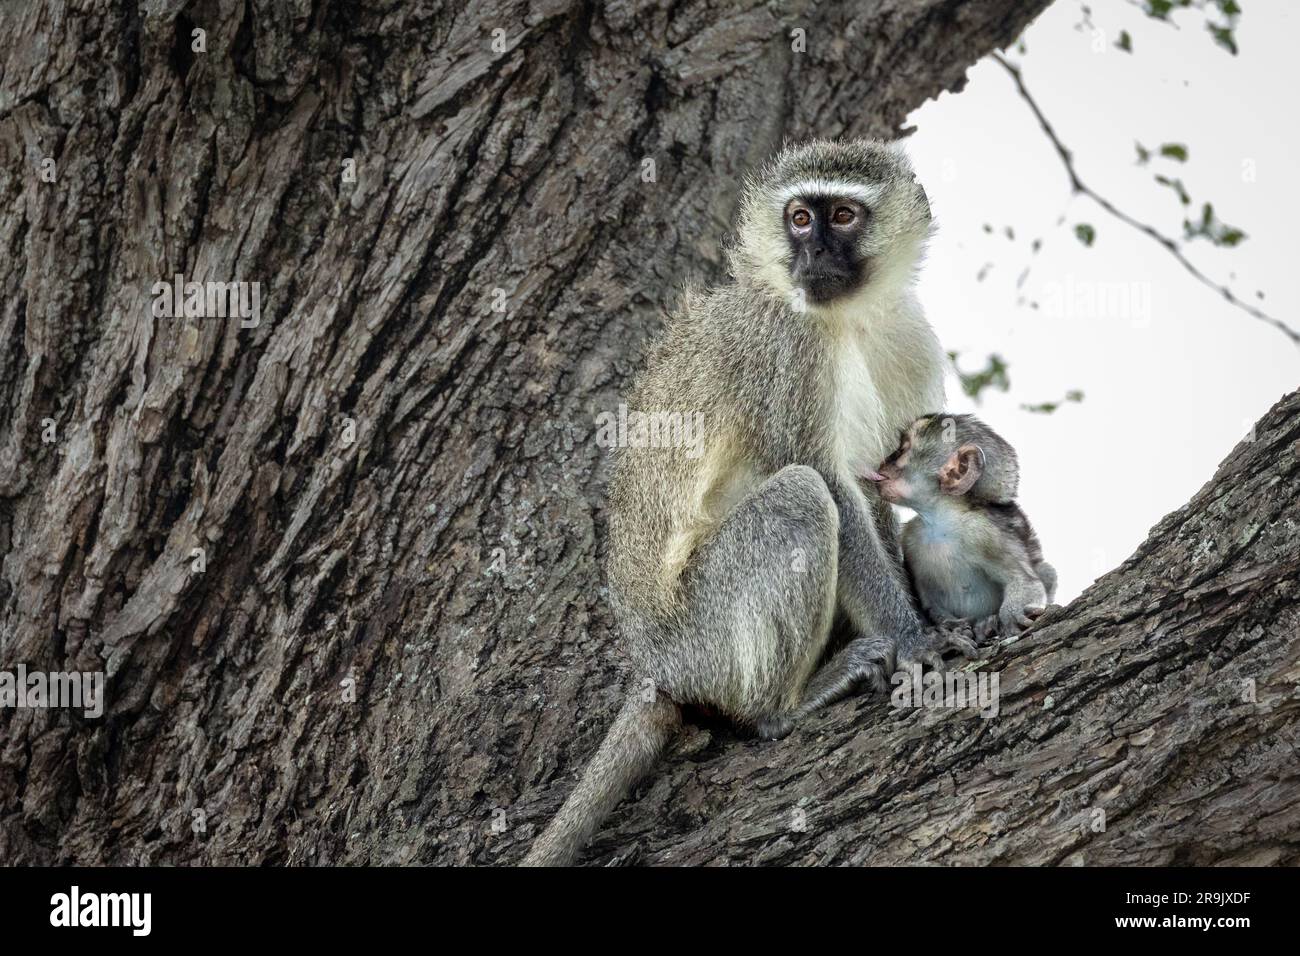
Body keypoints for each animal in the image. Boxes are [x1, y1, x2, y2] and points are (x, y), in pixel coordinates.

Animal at [522, 140, 972, 868]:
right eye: (798, 218)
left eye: (841, 215)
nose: (812, 255)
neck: (851, 318)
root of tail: (655, 662)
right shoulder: (789, 350)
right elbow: (829, 483)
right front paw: (914, 639)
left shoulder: (906, 335)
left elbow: (875, 489)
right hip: (704, 634)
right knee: (798, 496)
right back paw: (783, 706)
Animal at [863, 413, 1055, 642]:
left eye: (902, 450)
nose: (883, 462)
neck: (941, 524)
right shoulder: (911, 538)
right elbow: (928, 600)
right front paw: (949, 626)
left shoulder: (983, 532)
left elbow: (1024, 580)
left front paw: (1012, 613)